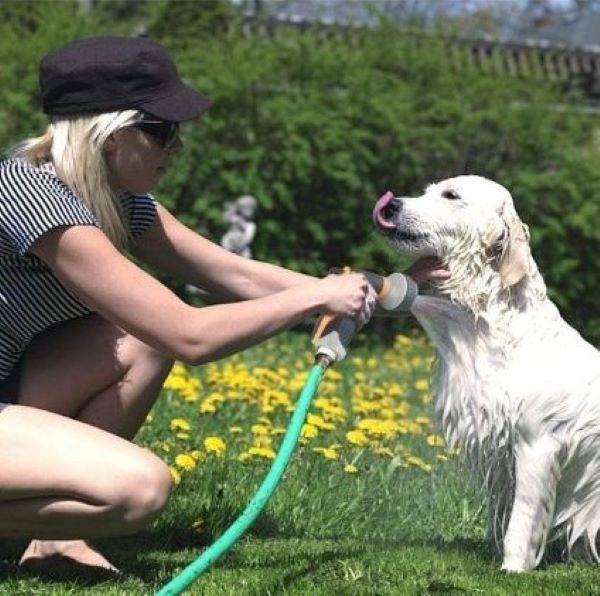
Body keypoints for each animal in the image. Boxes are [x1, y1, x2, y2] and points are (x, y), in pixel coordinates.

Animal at [372, 177, 600, 572]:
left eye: (450, 195)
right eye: (428, 190)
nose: (391, 205)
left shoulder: (537, 445)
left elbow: (521, 521)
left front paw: (512, 567)